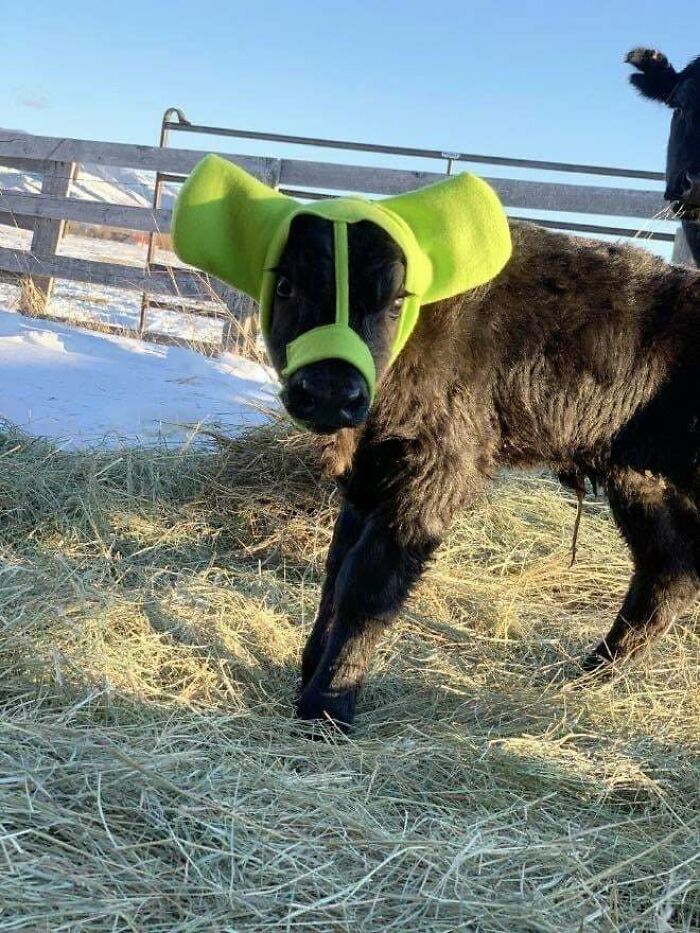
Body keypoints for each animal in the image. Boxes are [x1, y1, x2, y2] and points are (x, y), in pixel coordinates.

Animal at [266, 215, 700, 732]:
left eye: (395, 303)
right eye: (286, 285)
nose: (330, 393)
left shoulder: (433, 475)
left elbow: (368, 585)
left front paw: (327, 708)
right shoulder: (369, 481)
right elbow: (337, 571)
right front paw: (309, 675)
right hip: (642, 484)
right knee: (669, 572)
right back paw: (588, 675)